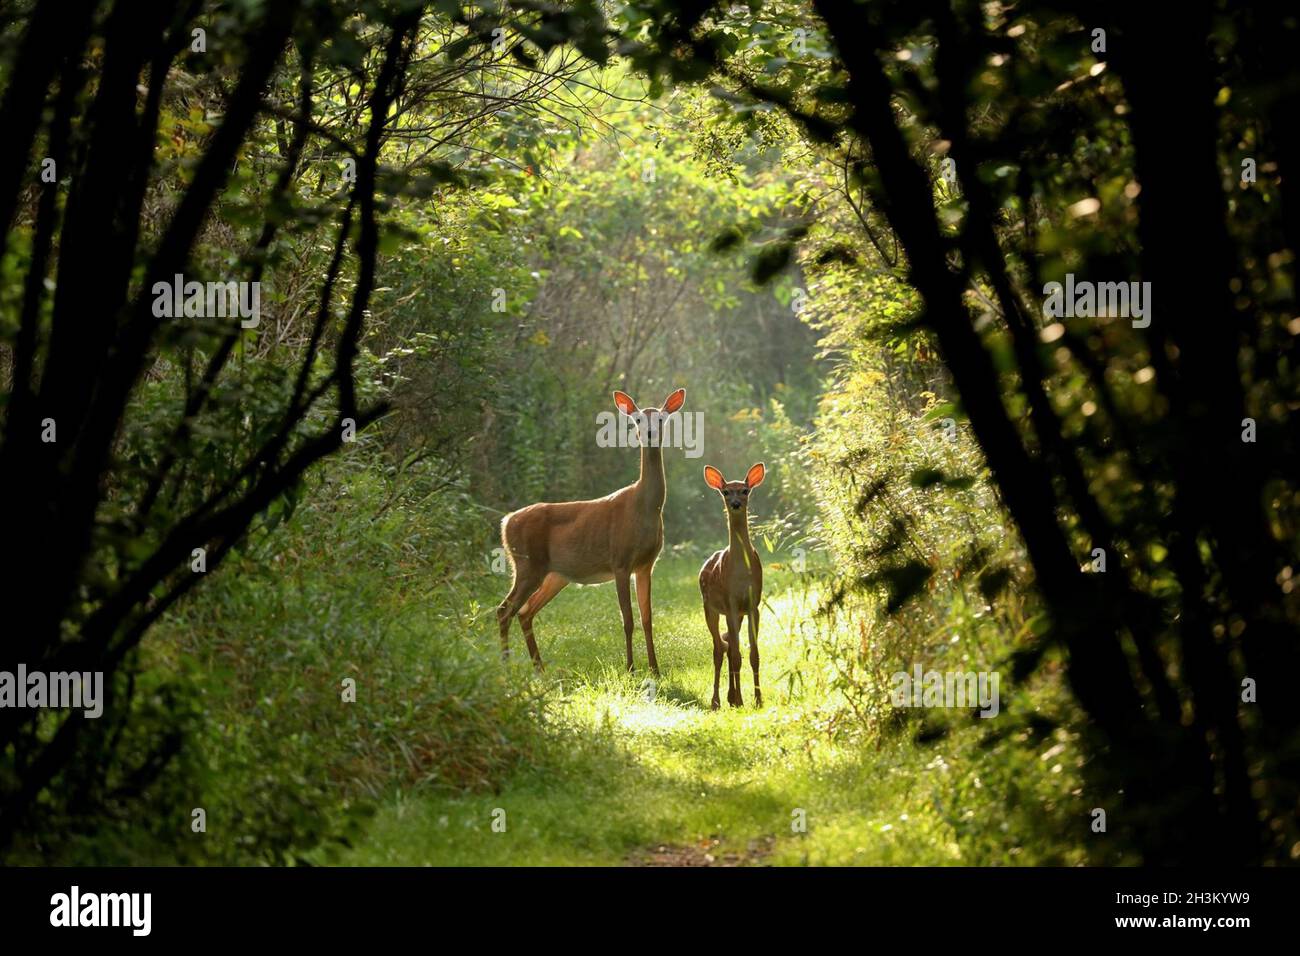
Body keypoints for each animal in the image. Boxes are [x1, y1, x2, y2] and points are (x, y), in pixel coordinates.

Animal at [497, 388, 687, 675]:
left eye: (662, 419)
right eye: (637, 419)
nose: (649, 434)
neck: (644, 508)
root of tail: (506, 522)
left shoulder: (646, 564)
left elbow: (647, 618)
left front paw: (655, 669)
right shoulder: (620, 560)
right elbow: (627, 619)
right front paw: (631, 668)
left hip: (555, 574)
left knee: (525, 611)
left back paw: (539, 668)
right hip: (528, 564)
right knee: (504, 609)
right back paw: (507, 668)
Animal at [699, 462, 765, 709]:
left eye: (745, 490)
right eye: (726, 492)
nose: (736, 503)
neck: (741, 573)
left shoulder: (752, 605)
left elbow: (753, 655)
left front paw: (758, 700)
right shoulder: (730, 603)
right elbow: (737, 655)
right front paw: (742, 700)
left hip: (736, 613)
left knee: (727, 645)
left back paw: (731, 697)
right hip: (709, 607)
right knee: (719, 648)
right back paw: (717, 701)